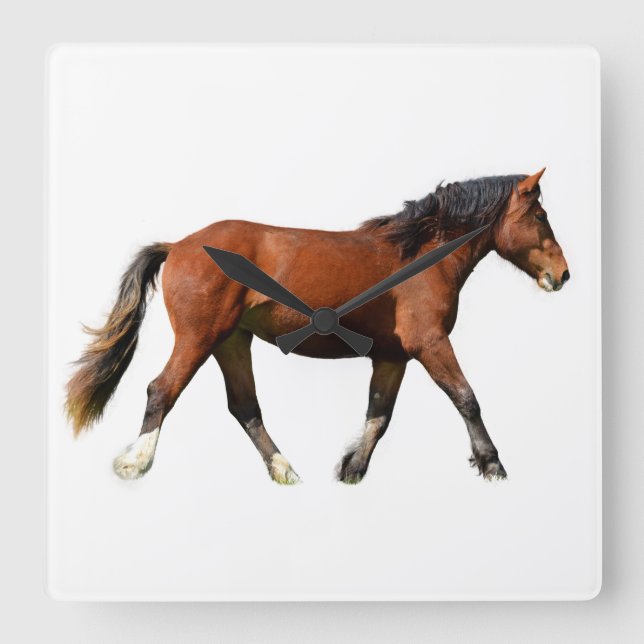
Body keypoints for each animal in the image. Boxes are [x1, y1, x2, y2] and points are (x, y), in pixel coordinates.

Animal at [65, 168, 569, 484]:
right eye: (540, 215)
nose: (562, 275)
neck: (421, 254)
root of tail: (178, 245)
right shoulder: (430, 344)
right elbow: (467, 399)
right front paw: (492, 465)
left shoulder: (393, 356)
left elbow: (378, 417)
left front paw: (351, 470)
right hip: (198, 339)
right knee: (161, 390)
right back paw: (135, 463)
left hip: (232, 343)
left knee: (245, 408)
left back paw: (284, 471)